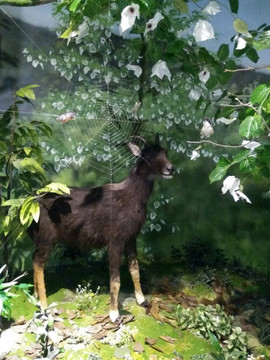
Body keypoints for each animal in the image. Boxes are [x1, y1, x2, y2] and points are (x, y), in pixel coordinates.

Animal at [29, 141, 173, 324]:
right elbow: (115, 279)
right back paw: (43, 306)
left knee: (34, 259)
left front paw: (142, 300)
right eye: (147, 155)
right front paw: (114, 315)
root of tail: (32, 201)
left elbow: (135, 268)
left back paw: (35, 296)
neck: (131, 197)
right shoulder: (115, 240)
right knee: (39, 263)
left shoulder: (131, 237)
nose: (171, 169)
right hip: (46, 237)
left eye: (165, 152)